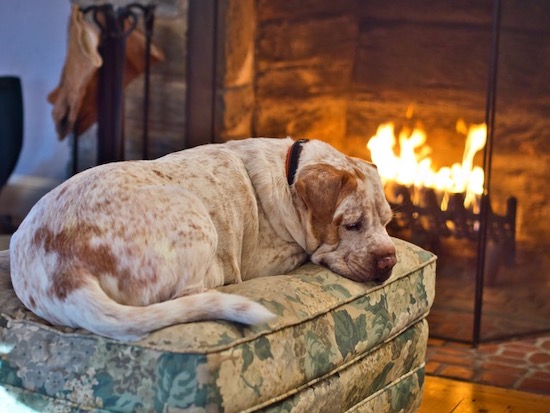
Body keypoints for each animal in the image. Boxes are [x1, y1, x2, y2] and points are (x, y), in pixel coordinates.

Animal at [8, 137, 396, 340]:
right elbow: (299, 252)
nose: (390, 259)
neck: (290, 174)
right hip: (196, 218)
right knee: (194, 292)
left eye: (388, 222)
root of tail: (65, 275)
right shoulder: (268, 260)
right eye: (352, 224)